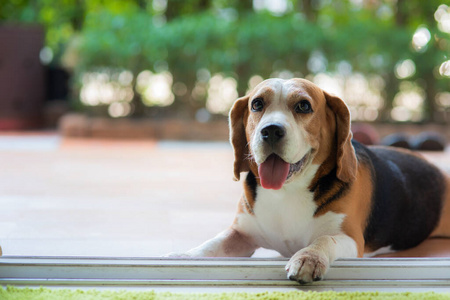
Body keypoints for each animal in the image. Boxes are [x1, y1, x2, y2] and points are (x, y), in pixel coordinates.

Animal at [177, 78, 450, 284]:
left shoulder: (351, 239)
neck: (286, 192)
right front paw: (185, 257)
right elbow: (210, 245)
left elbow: (324, 239)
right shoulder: (241, 233)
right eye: (257, 104)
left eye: (303, 106)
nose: (271, 130)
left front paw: (308, 258)